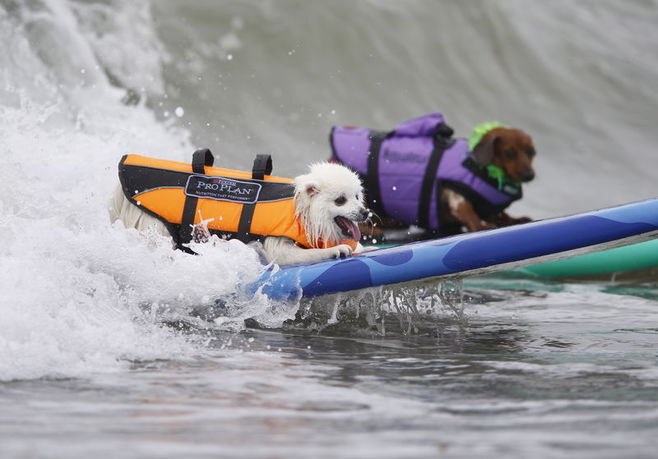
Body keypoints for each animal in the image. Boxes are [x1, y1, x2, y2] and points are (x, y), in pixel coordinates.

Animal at [109, 162, 368, 264]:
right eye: (340, 200)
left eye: (357, 197)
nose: (365, 212)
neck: (301, 209)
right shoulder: (278, 247)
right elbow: (303, 254)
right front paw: (338, 249)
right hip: (155, 227)